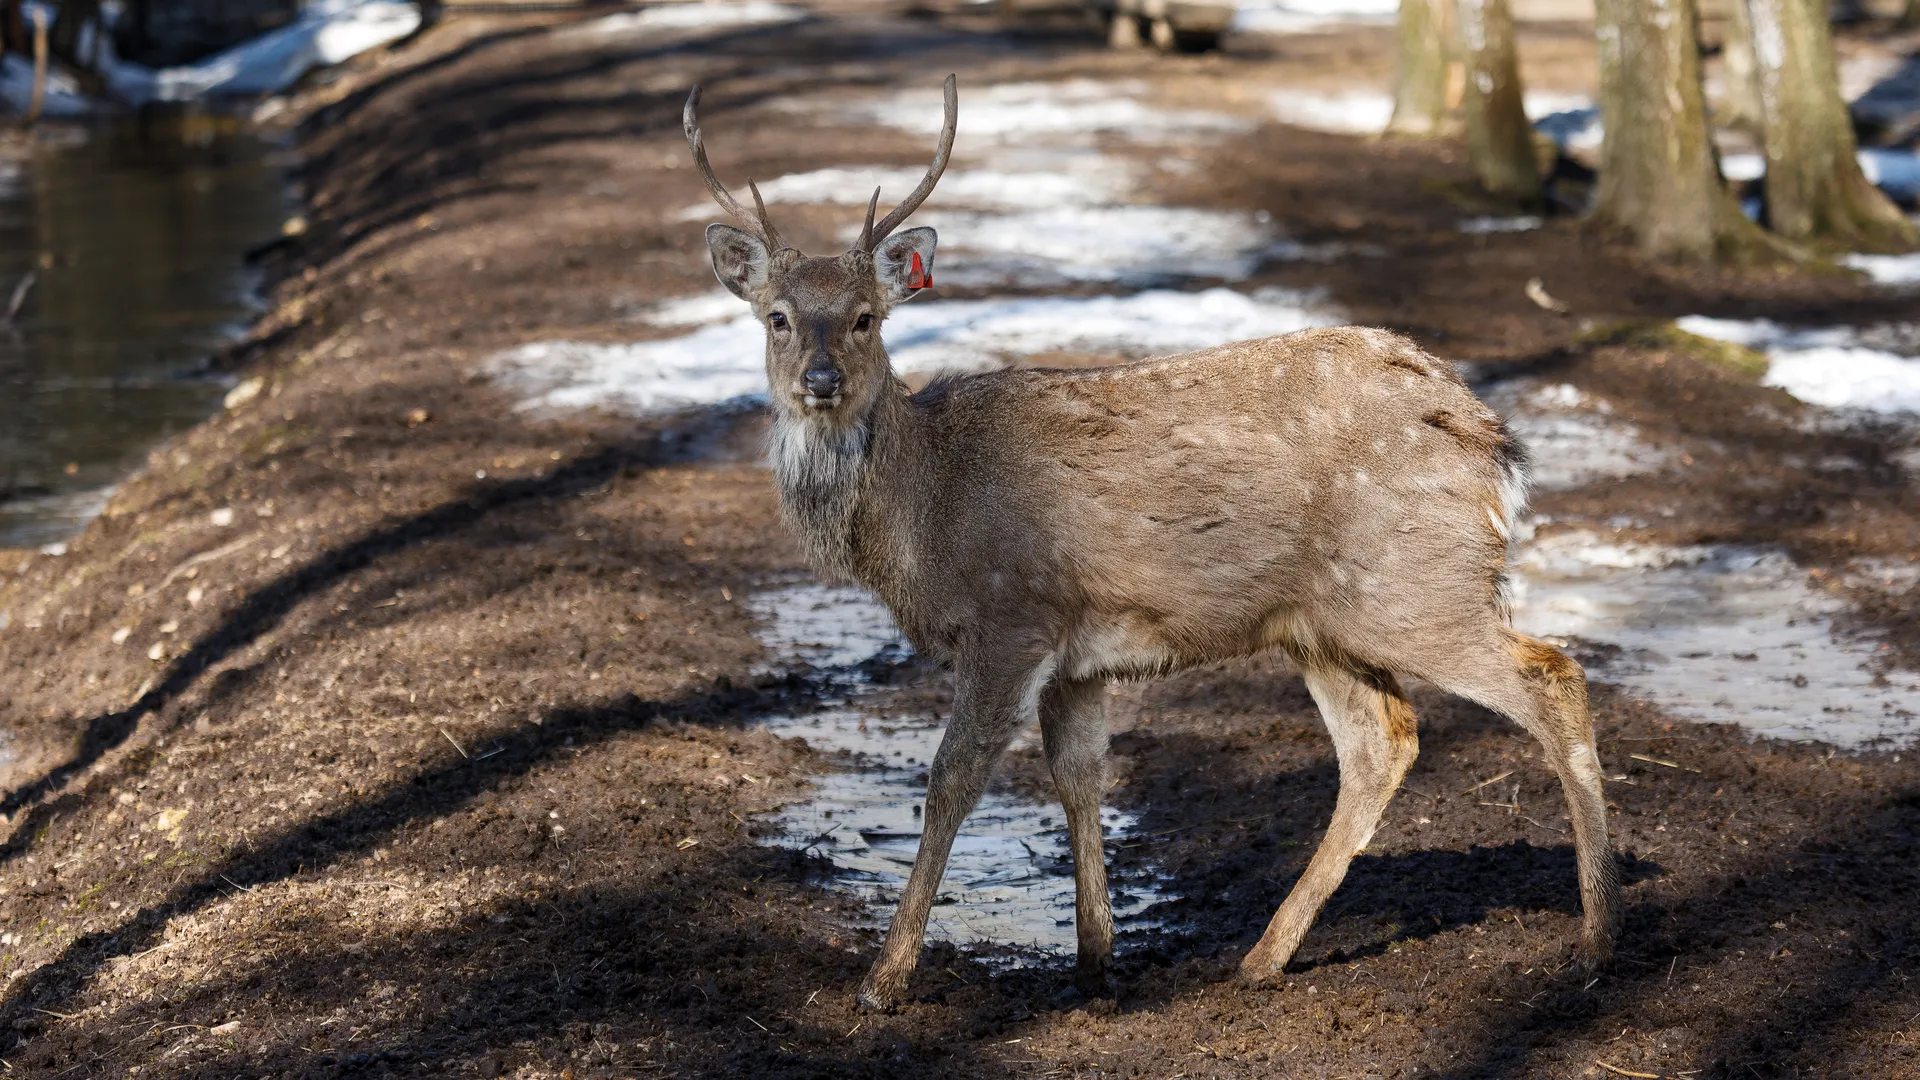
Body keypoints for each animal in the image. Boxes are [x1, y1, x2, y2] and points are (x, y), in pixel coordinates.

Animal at [682, 75, 1620, 1011]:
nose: (821, 380)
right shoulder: (1074, 656)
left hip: (1419, 584)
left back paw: (1598, 935)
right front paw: (1096, 959)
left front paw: (884, 980)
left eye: (867, 319)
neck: (925, 517)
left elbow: (951, 778)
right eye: (777, 318)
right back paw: (1262, 956)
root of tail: (1492, 442)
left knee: (1552, 677)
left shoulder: (1011, 613)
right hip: (1323, 622)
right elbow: (1078, 775)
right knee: (1382, 741)